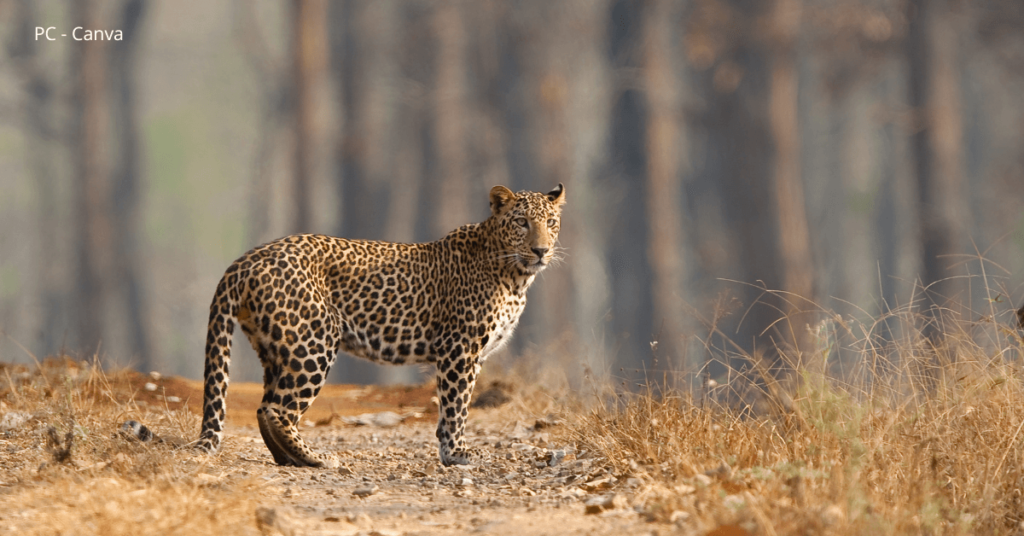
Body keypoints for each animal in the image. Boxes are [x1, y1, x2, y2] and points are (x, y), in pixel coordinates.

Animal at [195, 184, 565, 467]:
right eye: (521, 222)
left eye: (550, 221)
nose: (541, 250)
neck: (515, 277)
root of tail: (246, 259)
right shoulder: (459, 348)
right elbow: (456, 405)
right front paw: (458, 453)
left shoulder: (471, 354)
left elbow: (450, 409)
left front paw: (448, 451)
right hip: (313, 343)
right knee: (277, 410)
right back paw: (317, 459)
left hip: (276, 349)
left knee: (263, 408)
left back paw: (291, 459)